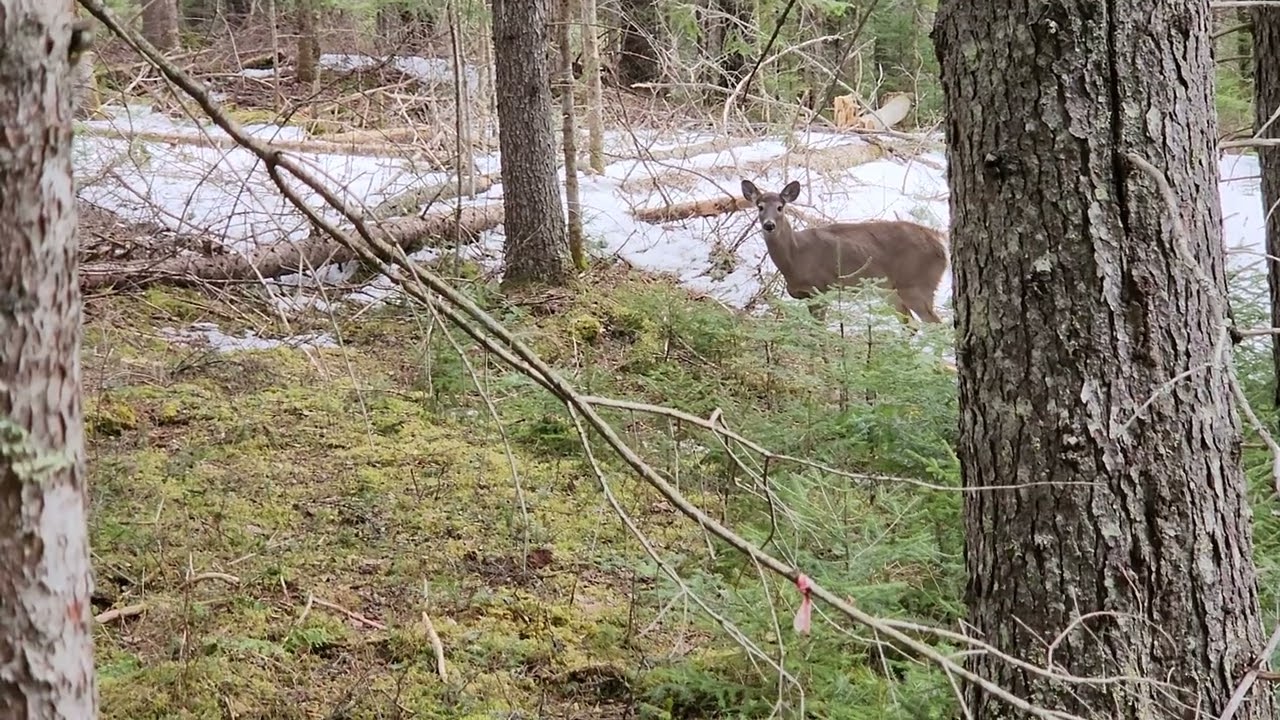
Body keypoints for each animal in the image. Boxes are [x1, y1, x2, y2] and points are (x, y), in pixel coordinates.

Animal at [740, 179, 948, 324]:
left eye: (780, 207)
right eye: (760, 207)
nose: (769, 225)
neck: (796, 256)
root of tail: (939, 244)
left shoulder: (821, 289)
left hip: (917, 284)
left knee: (936, 326)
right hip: (890, 290)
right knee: (911, 325)